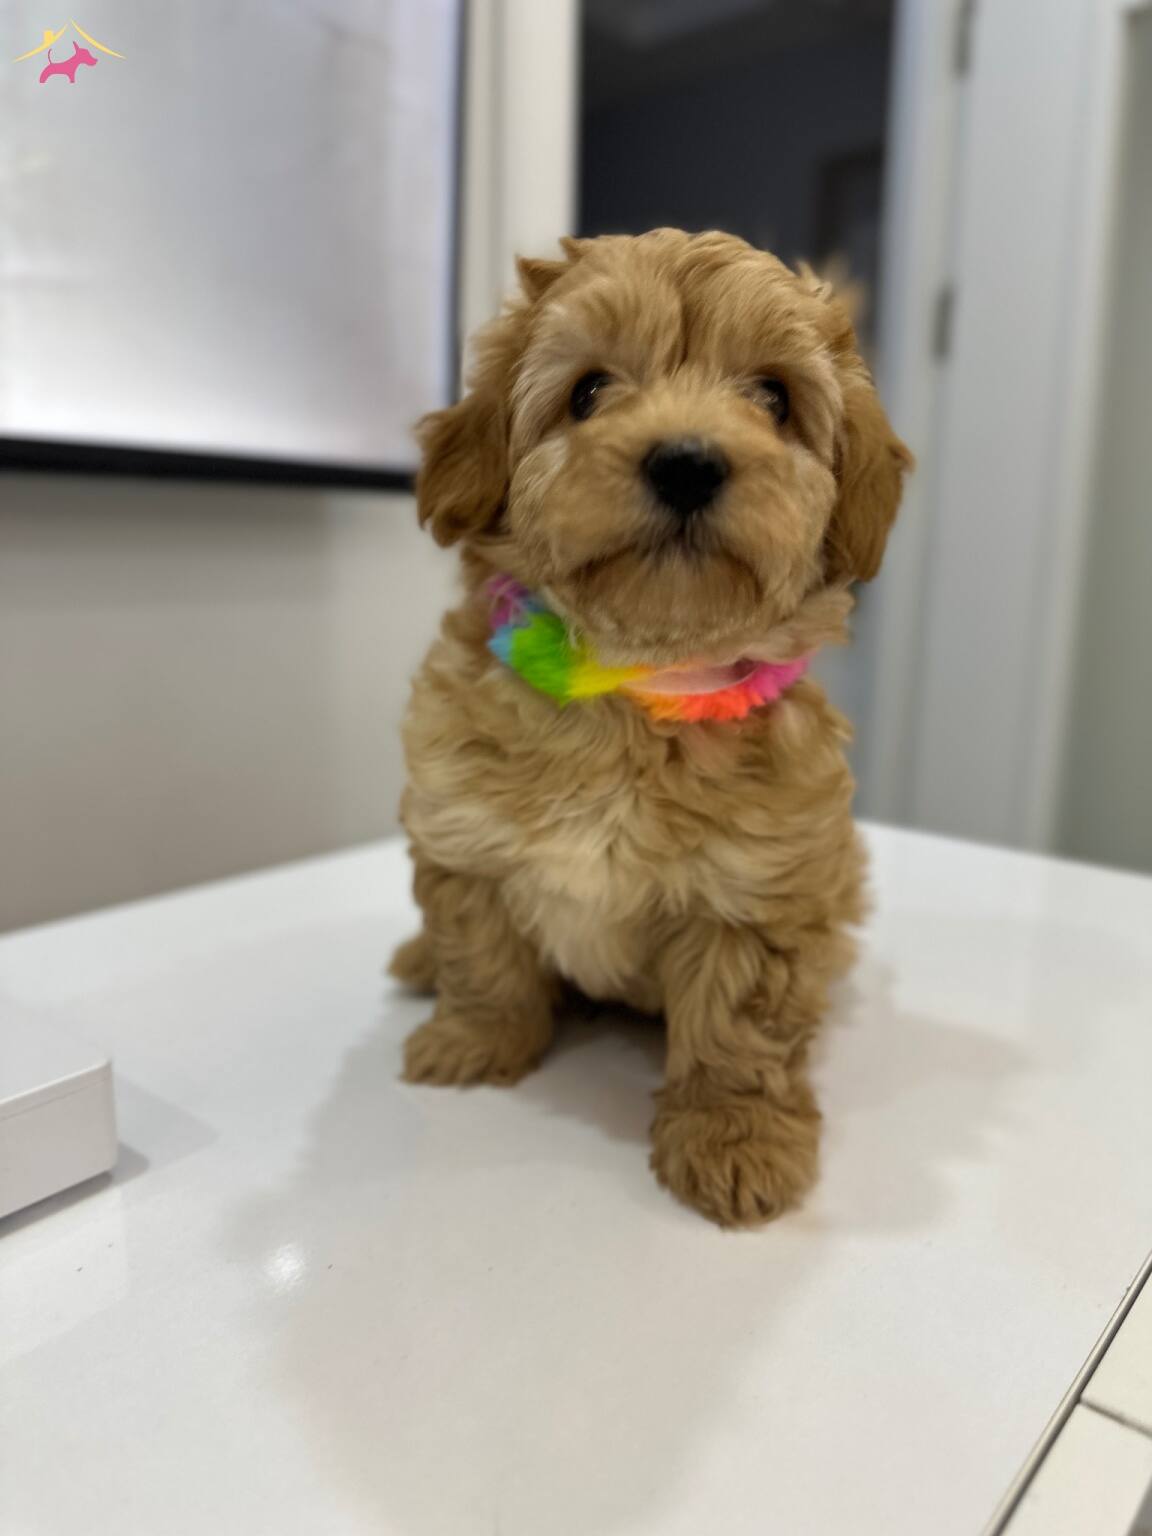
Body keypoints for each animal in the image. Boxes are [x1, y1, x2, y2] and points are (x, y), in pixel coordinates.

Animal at [392, 229, 910, 1226]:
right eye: (589, 390)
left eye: (775, 398)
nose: (687, 462)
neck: (629, 688)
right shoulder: (463, 835)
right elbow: (482, 954)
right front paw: (474, 1043)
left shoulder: (761, 895)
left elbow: (736, 1035)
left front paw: (733, 1141)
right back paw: (417, 959)